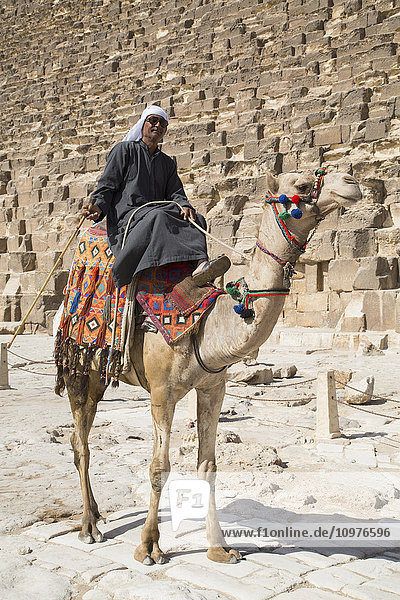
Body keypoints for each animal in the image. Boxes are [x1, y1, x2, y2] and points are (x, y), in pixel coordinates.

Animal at [61, 170, 362, 568]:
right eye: (298, 185)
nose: (351, 182)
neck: (207, 325)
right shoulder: (162, 393)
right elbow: (159, 467)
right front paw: (149, 547)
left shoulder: (213, 388)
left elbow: (208, 466)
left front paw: (220, 547)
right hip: (78, 367)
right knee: (81, 443)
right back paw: (89, 527)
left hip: (98, 374)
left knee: (80, 437)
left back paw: (96, 514)